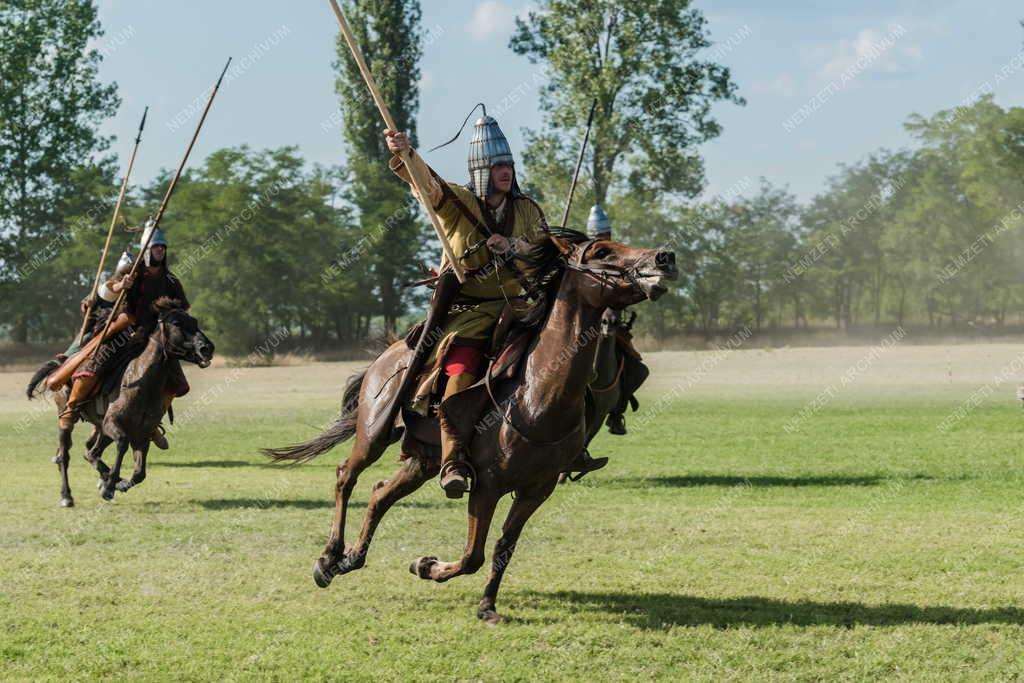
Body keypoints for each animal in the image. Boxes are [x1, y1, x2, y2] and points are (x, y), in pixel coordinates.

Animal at [27, 299, 214, 507]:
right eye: (177, 323)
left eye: (195, 322)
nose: (207, 348)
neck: (141, 382)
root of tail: (61, 365)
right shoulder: (114, 424)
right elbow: (122, 445)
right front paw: (109, 487)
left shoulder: (143, 433)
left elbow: (139, 473)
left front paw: (117, 484)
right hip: (68, 419)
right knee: (65, 456)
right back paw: (67, 495)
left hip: (101, 428)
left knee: (91, 452)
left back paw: (105, 478)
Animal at [268, 231, 675, 626]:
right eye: (603, 251)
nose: (665, 257)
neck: (537, 394)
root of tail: (390, 352)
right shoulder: (487, 486)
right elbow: (472, 555)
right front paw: (427, 566)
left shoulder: (536, 489)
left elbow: (502, 549)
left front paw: (486, 605)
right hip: (374, 435)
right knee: (345, 476)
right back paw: (328, 559)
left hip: (425, 460)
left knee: (381, 494)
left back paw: (352, 558)